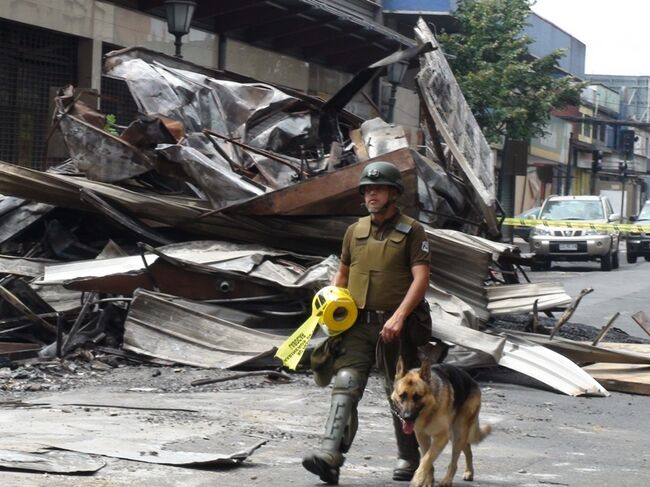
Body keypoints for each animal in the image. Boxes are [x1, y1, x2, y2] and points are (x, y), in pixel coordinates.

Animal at [390, 356, 492, 486]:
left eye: (417, 397)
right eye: (402, 396)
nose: (407, 417)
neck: (429, 410)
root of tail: (473, 381)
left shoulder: (442, 437)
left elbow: (426, 459)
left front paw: (417, 479)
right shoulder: (422, 437)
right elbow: (427, 458)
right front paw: (428, 481)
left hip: (458, 433)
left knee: (454, 461)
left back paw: (447, 480)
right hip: (455, 435)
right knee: (468, 449)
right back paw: (469, 472)